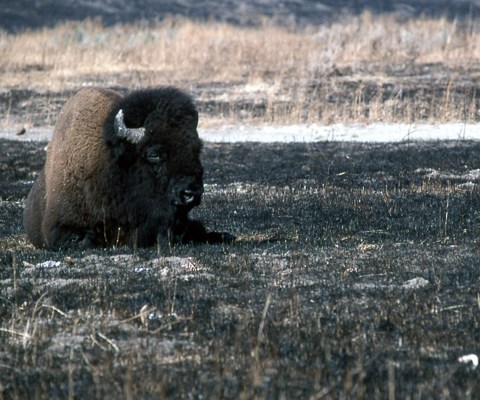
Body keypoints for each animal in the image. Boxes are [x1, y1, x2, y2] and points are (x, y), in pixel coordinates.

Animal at [24, 87, 234, 250]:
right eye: (154, 154)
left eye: (196, 149)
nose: (191, 192)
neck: (111, 162)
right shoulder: (59, 228)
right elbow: (87, 240)